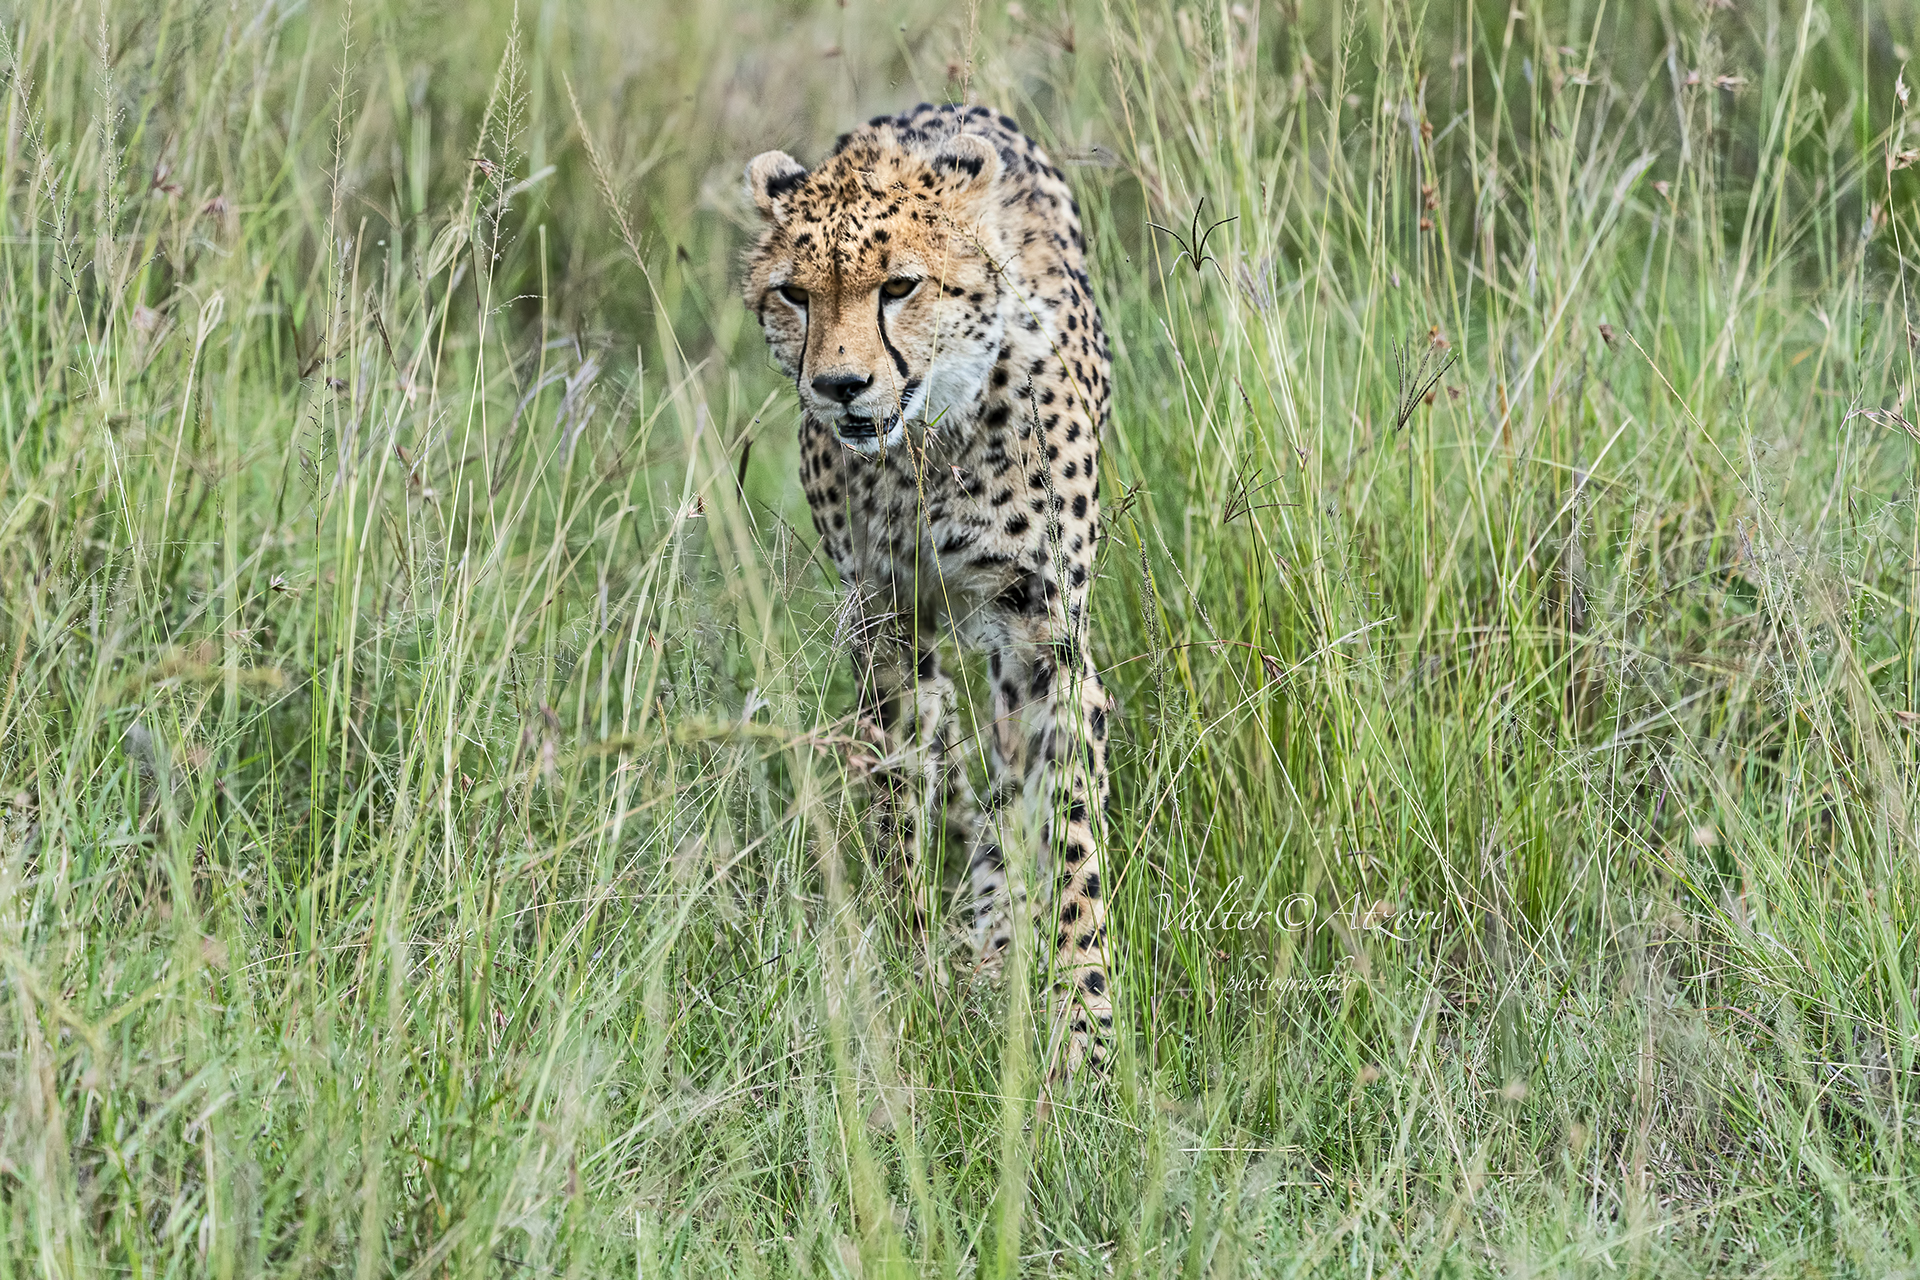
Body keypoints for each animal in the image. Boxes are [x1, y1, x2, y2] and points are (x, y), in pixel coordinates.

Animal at [742, 102, 1116, 1081]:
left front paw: (1083, 1025)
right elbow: (900, 803)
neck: (929, 443)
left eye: (900, 286)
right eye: (795, 295)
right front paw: (915, 977)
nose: (840, 386)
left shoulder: (1043, 629)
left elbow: (1066, 834)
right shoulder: (883, 619)